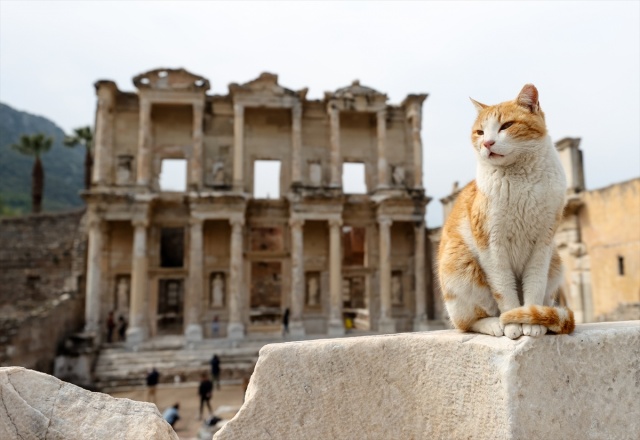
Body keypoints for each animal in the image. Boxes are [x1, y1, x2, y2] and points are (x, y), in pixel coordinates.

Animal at [440, 84, 576, 338]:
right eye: (480, 132)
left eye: (506, 126)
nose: (487, 144)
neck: (522, 178)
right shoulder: (492, 244)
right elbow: (504, 289)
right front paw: (513, 323)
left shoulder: (543, 243)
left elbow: (534, 285)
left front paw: (532, 322)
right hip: (460, 266)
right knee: (467, 322)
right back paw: (495, 323)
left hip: (556, 263)